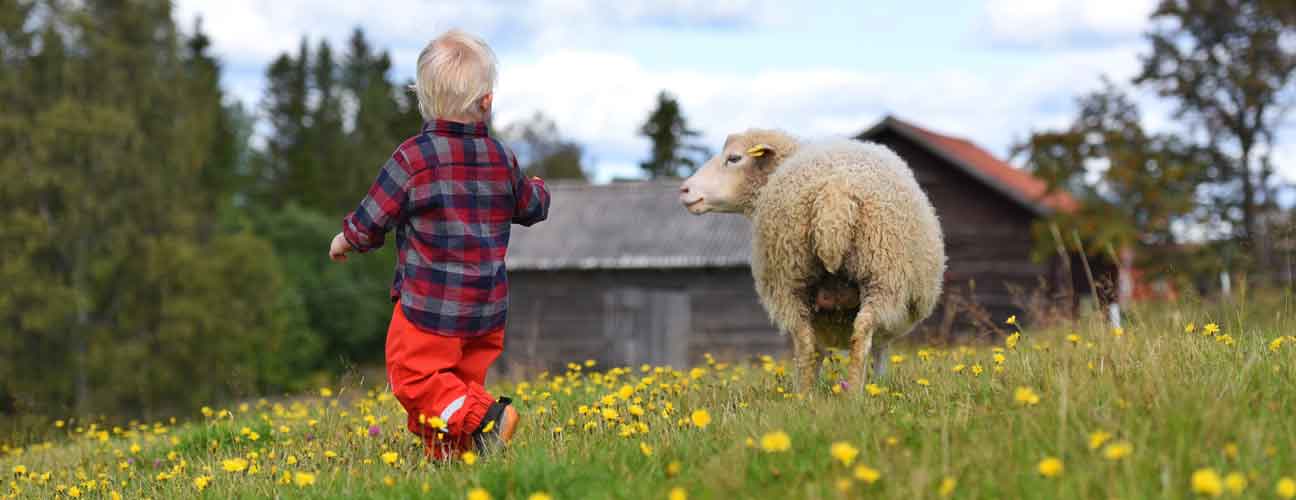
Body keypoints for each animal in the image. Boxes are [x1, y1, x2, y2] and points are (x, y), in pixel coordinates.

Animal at [679, 130, 943, 393]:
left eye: (734, 158)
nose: (684, 189)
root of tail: (834, 195)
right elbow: (880, 351)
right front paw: (879, 385)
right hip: (882, 275)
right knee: (861, 333)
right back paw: (853, 395)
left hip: (791, 275)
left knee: (806, 342)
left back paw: (805, 395)